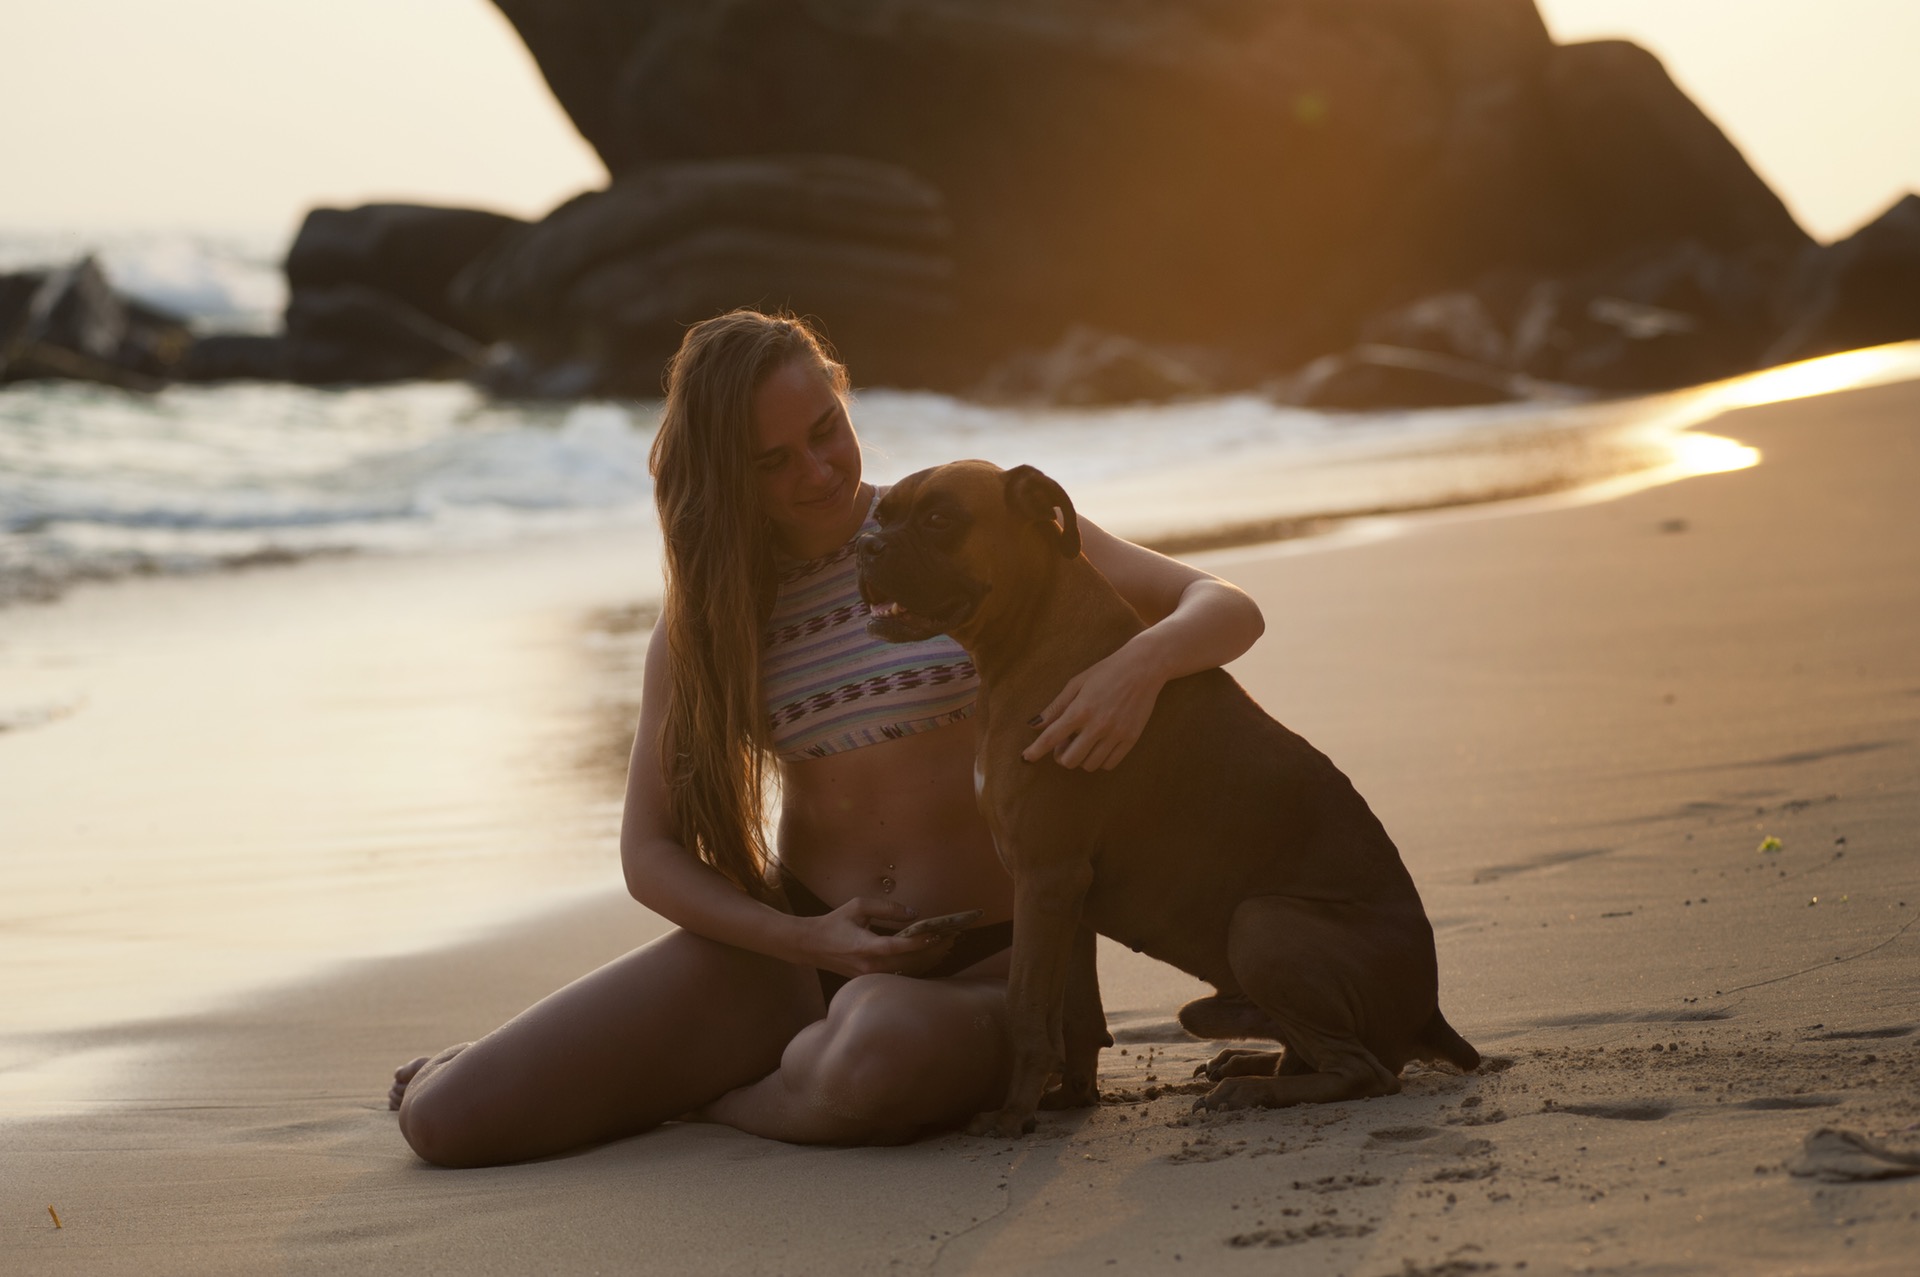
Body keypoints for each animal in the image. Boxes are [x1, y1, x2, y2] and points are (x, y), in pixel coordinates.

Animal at [864, 458, 1474, 1136]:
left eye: (939, 519)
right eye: (882, 514)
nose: (866, 546)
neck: (1035, 637)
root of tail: (1431, 1011)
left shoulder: (1045, 878)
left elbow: (1026, 1005)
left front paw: (1012, 1114)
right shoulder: (1063, 895)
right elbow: (1071, 1011)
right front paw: (1071, 1096)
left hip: (1263, 923)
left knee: (1364, 1072)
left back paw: (1251, 1091)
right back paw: (1247, 1063)